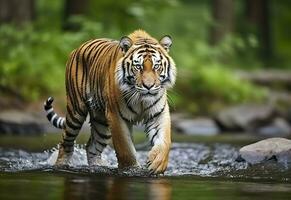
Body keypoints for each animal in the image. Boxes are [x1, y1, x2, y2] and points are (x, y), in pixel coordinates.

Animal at [43, 29, 176, 173]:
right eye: (138, 67)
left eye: (156, 66)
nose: (149, 86)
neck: (141, 99)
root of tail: (77, 48)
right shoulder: (116, 116)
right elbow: (125, 148)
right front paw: (131, 169)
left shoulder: (158, 114)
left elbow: (165, 141)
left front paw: (157, 163)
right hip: (76, 112)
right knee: (66, 142)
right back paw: (61, 165)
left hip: (101, 122)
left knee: (92, 147)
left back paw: (98, 167)